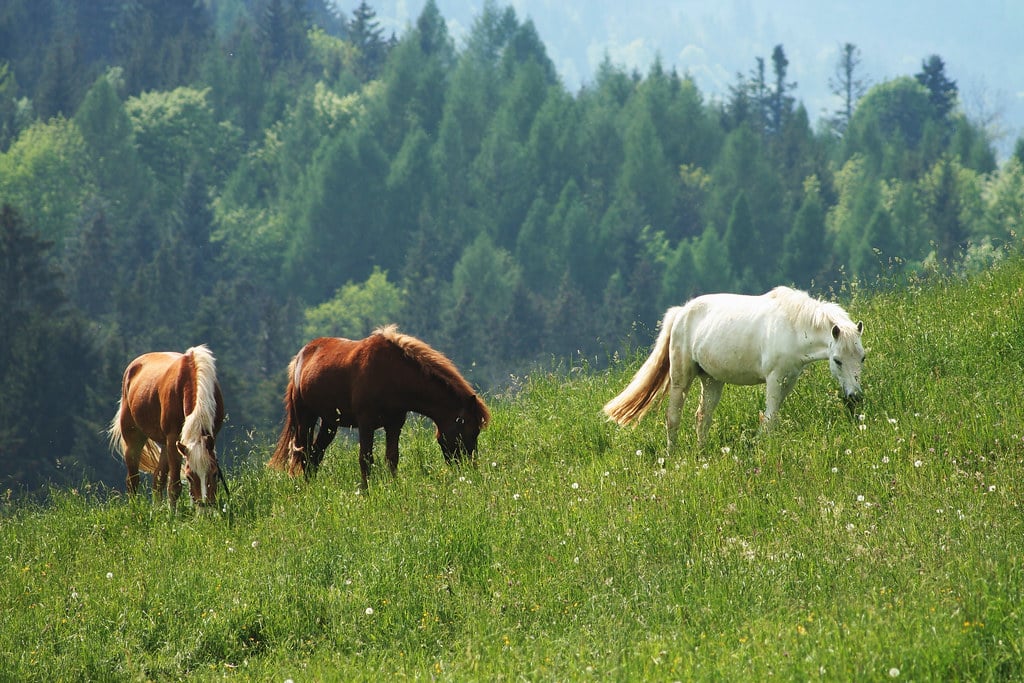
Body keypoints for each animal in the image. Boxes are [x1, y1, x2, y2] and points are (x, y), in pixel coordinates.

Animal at [108, 345, 226, 510]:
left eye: (214, 473)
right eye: (189, 477)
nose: (204, 507)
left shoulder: (208, 436)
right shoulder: (173, 440)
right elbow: (175, 486)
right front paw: (173, 513)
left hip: (165, 445)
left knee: (158, 478)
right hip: (134, 440)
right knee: (133, 480)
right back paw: (135, 510)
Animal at [268, 325, 491, 490]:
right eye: (470, 432)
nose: (469, 470)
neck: (392, 374)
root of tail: (300, 358)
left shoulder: (394, 424)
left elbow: (392, 458)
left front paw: (393, 487)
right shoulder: (366, 423)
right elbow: (365, 459)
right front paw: (367, 492)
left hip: (330, 422)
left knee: (315, 454)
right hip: (305, 417)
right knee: (303, 453)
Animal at [603, 286, 864, 449]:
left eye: (862, 358)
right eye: (837, 360)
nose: (855, 397)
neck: (793, 326)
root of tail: (681, 312)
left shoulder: (788, 379)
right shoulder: (774, 378)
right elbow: (769, 420)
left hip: (711, 380)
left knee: (702, 417)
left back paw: (701, 454)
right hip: (681, 378)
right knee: (673, 417)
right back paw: (672, 456)